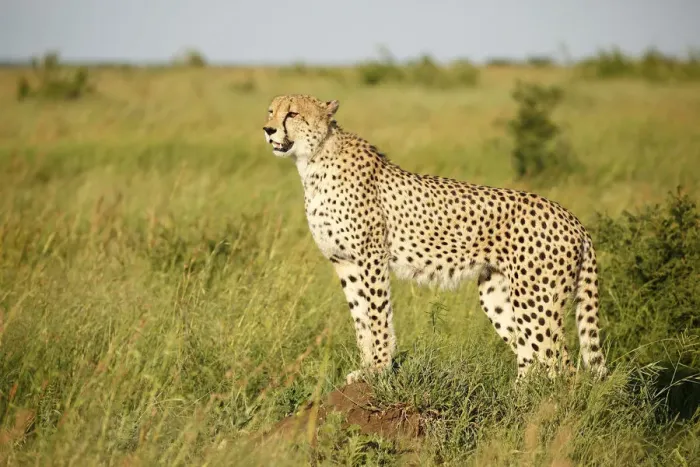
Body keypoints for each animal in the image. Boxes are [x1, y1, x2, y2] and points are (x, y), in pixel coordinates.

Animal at [262, 94, 607, 384]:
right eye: (271, 111)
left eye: (292, 113)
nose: (268, 129)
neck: (313, 160)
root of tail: (572, 217)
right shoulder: (344, 262)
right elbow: (360, 319)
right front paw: (366, 368)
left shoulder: (371, 258)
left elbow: (377, 315)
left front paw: (379, 368)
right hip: (497, 293)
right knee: (531, 354)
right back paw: (517, 396)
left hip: (536, 298)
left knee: (561, 363)